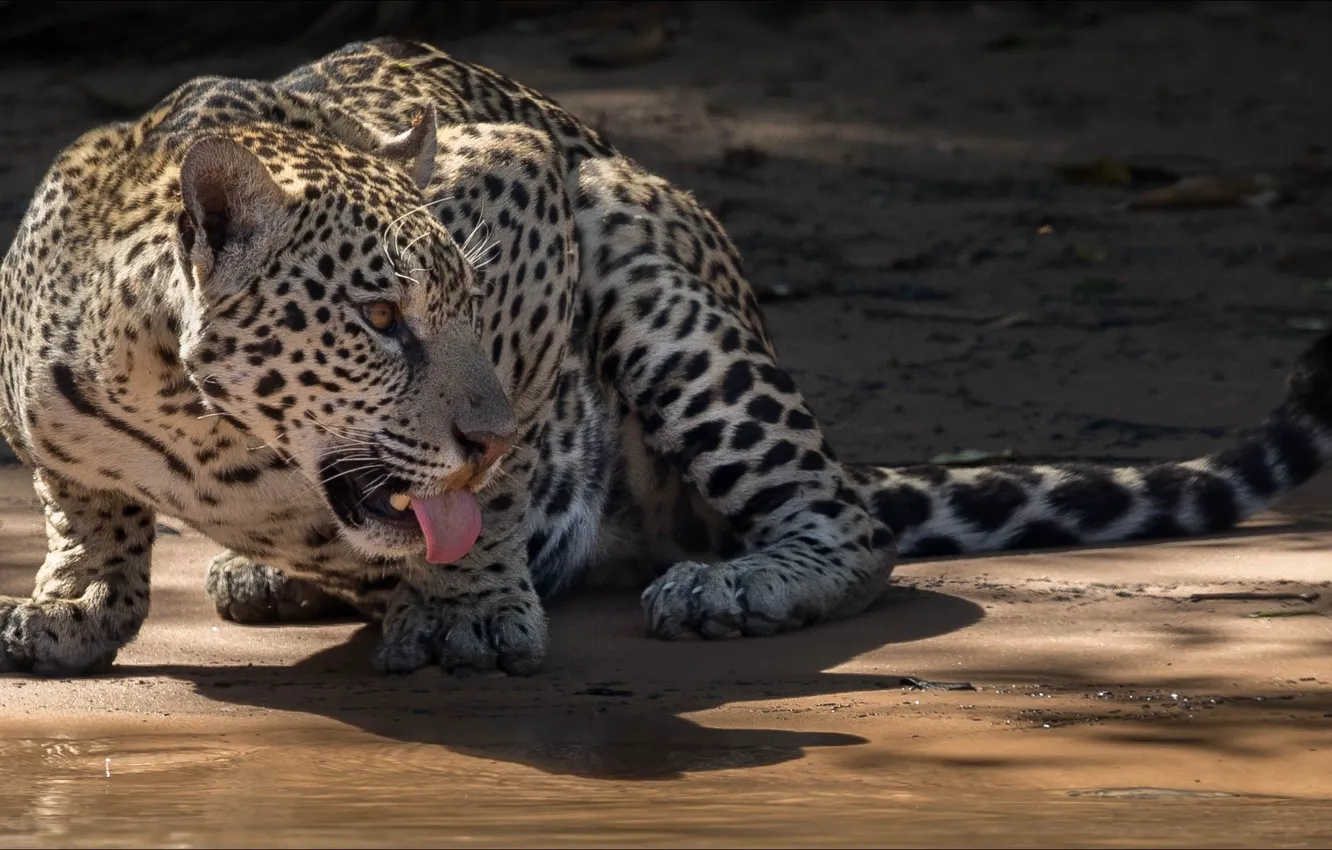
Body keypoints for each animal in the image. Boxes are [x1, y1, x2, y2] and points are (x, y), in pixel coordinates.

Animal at [3, 38, 1331, 678]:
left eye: (462, 299)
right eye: (379, 318)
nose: (481, 430)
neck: (193, 419)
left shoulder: (524, 188)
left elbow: (505, 467)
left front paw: (469, 609)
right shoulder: (46, 408)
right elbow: (82, 506)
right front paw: (70, 606)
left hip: (647, 261)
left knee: (856, 527)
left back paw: (735, 587)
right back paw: (271, 576)